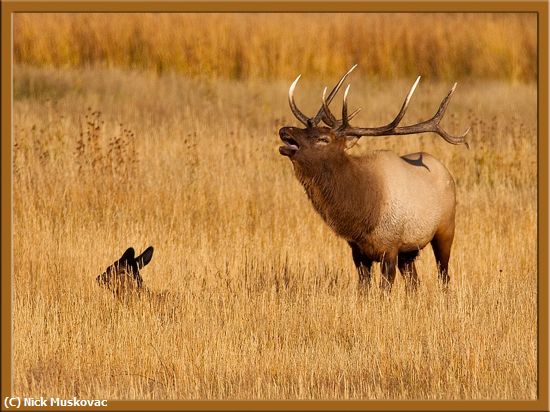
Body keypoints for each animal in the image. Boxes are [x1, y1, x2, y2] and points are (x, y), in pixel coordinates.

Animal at [280, 65, 470, 290]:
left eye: (323, 139)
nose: (284, 130)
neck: (362, 214)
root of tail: (445, 170)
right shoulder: (358, 250)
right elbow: (363, 288)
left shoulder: (390, 246)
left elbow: (384, 290)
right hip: (409, 251)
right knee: (414, 283)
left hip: (445, 229)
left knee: (444, 275)